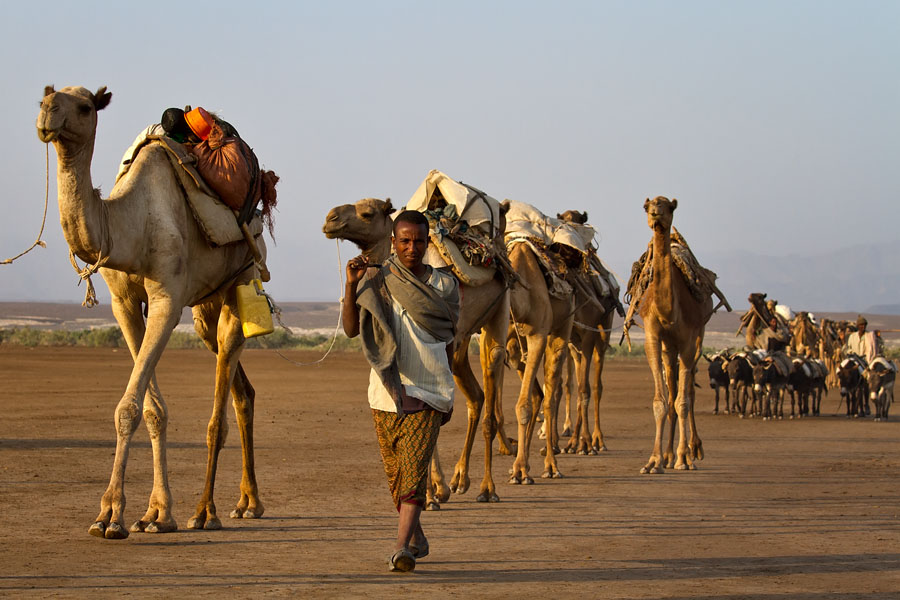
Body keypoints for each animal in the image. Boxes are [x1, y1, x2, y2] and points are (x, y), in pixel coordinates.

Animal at [36, 86, 267, 538]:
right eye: (47, 97)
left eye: (85, 106)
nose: (47, 115)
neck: (131, 225)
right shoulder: (123, 304)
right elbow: (151, 409)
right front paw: (155, 513)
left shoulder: (167, 299)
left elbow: (127, 407)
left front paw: (110, 515)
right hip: (205, 311)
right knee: (242, 392)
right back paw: (247, 503)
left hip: (241, 281)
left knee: (219, 413)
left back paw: (207, 511)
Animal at [631, 197, 715, 473]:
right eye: (647, 207)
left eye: (669, 206)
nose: (656, 214)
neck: (669, 311)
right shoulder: (653, 337)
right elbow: (661, 402)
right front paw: (654, 461)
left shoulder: (689, 341)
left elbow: (683, 401)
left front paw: (682, 458)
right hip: (669, 347)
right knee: (673, 389)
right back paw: (667, 455)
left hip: (697, 338)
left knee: (687, 392)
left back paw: (691, 451)